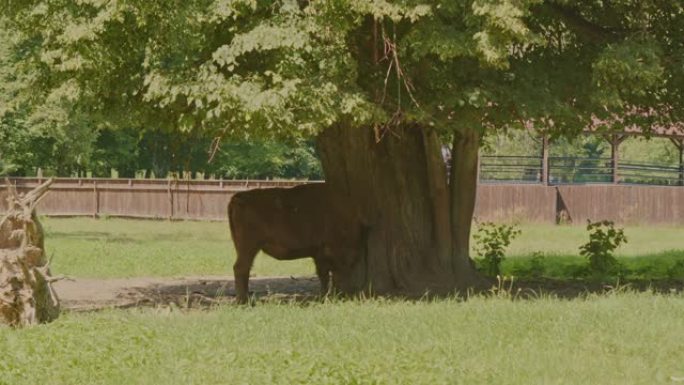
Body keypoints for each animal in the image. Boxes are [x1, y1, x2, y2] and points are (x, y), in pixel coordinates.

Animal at [228, 183, 368, 304]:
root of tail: (238, 197)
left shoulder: (319, 255)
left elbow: (324, 275)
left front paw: (324, 296)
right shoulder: (328, 252)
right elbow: (331, 273)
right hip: (249, 247)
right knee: (241, 268)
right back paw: (244, 301)